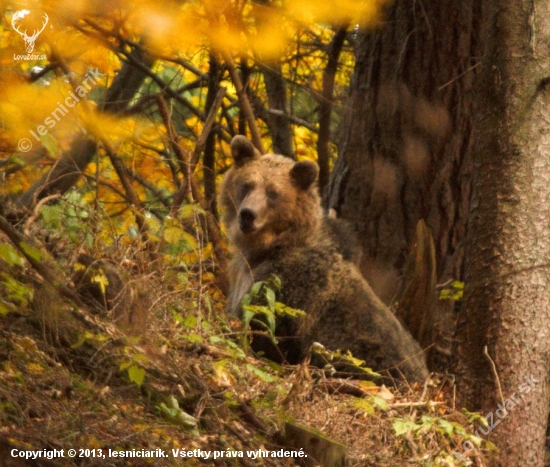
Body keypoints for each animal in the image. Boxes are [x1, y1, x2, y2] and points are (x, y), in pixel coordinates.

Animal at [221, 135, 432, 384]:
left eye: (273, 193)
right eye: (247, 185)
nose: (248, 215)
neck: (266, 248)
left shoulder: (287, 287)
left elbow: (264, 329)